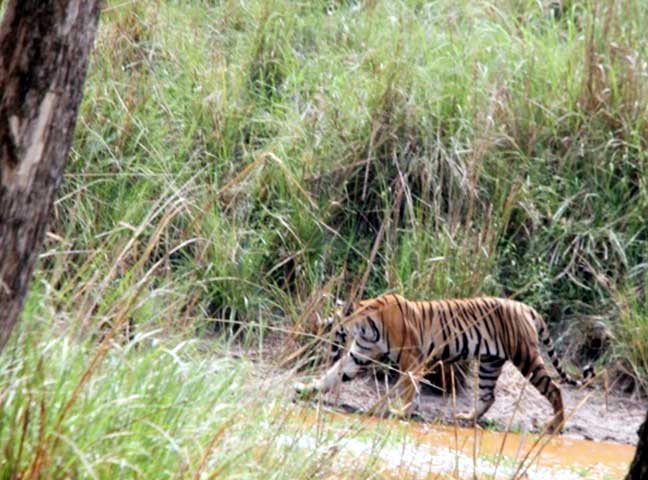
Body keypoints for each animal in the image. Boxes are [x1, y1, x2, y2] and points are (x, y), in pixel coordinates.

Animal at [294, 292, 592, 436]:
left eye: (332, 327)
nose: (324, 341)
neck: (366, 327)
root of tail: (524, 306)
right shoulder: (359, 355)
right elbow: (333, 375)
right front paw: (305, 389)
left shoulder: (413, 360)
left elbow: (407, 388)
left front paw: (400, 411)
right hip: (490, 362)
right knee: (489, 395)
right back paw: (467, 417)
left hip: (526, 357)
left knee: (555, 389)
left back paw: (555, 426)